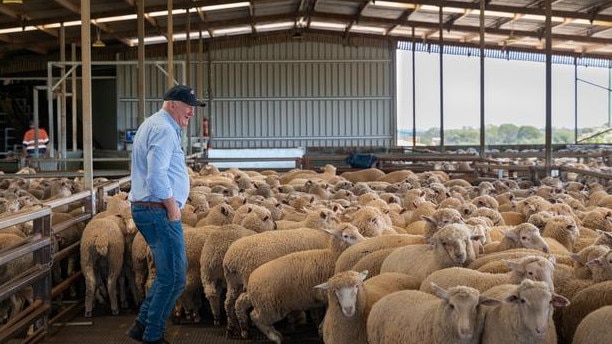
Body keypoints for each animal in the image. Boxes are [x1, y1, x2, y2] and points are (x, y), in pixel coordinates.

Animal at [234, 224, 364, 342]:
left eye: (357, 230)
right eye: (346, 236)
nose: (364, 241)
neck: (333, 257)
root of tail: (252, 280)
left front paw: (320, 328)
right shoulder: (328, 294)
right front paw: (321, 329)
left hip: (259, 300)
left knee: (241, 301)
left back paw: (245, 330)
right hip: (270, 307)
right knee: (255, 317)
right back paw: (275, 337)